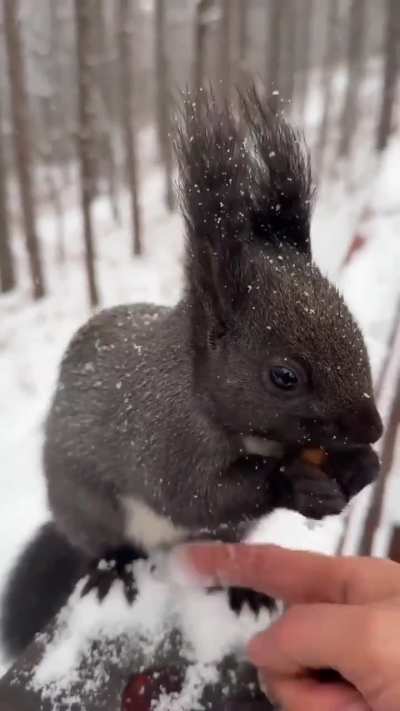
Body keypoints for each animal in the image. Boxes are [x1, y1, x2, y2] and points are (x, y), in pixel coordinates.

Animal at [1, 88, 382, 659]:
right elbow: (195, 495)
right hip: (83, 502)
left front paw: (361, 468)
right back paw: (113, 567)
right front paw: (292, 481)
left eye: (356, 332)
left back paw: (244, 588)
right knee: (104, 541)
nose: (374, 428)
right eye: (284, 377)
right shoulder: (163, 437)